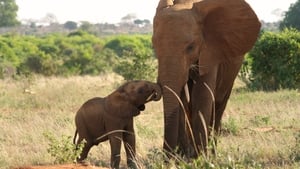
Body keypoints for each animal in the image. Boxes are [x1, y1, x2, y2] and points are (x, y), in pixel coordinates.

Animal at [152, 0, 260, 157]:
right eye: (154, 46)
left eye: (191, 47)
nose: (167, 157)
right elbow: (182, 98)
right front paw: (185, 156)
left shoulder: (211, 50)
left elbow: (201, 95)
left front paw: (200, 157)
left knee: (219, 104)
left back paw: (211, 153)